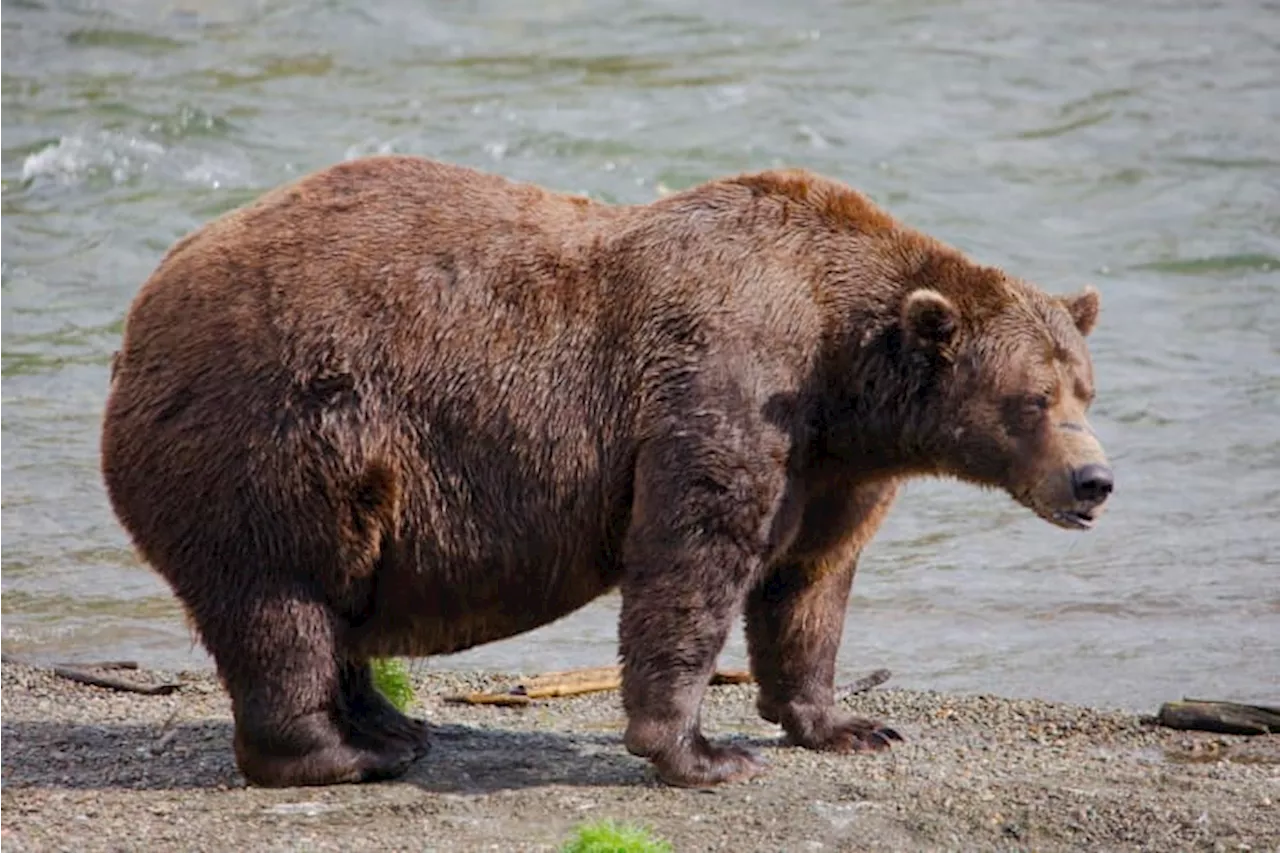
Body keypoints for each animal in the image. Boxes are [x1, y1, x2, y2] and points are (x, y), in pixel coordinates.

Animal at [102, 156, 1111, 788]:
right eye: (1031, 398)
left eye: (1086, 388)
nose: (1093, 481)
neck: (842, 369)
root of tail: (140, 311)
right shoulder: (726, 383)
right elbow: (693, 557)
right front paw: (702, 752)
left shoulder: (832, 465)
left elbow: (809, 582)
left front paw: (847, 723)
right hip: (276, 435)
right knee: (281, 602)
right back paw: (341, 752)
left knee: (333, 604)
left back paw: (392, 725)